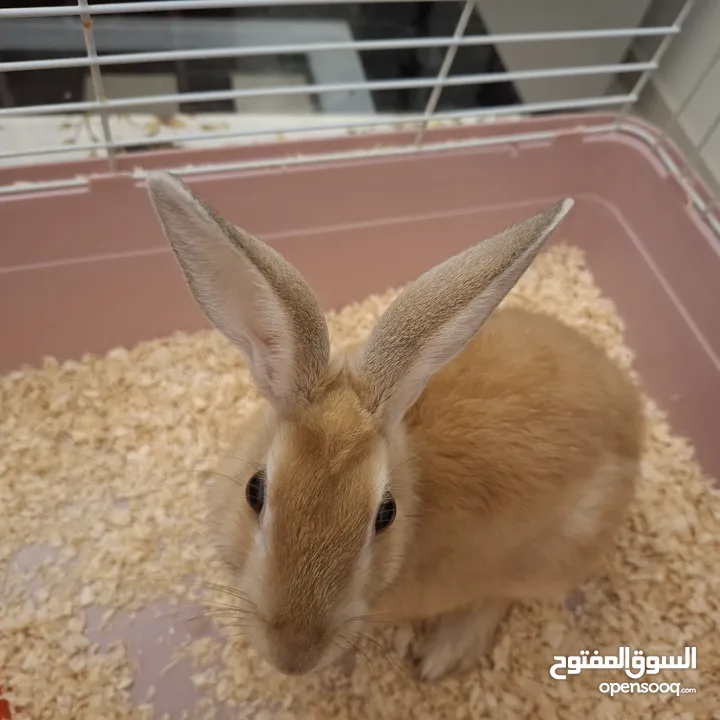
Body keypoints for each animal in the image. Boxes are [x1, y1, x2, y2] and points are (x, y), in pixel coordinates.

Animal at [146, 172, 644, 682]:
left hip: (555, 555)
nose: (293, 657)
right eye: (254, 490)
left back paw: (442, 655)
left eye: (387, 514)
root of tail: (633, 414)